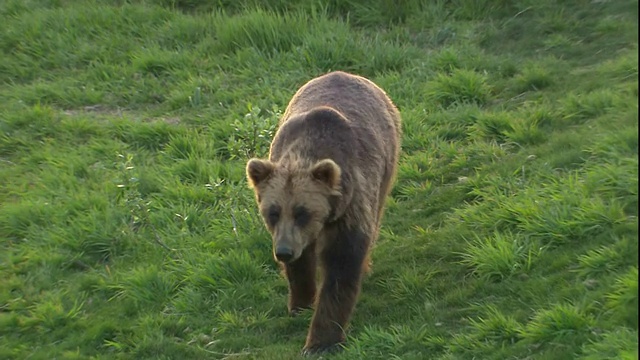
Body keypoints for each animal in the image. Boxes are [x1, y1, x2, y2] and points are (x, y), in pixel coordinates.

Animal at [244, 70, 400, 354]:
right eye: (272, 212)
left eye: (302, 212)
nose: (283, 252)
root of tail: (348, 73)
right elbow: (302, 264)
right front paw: (301, 302)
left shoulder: (349, 207)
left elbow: (341, 266)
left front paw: (321, 342)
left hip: (387, 162)